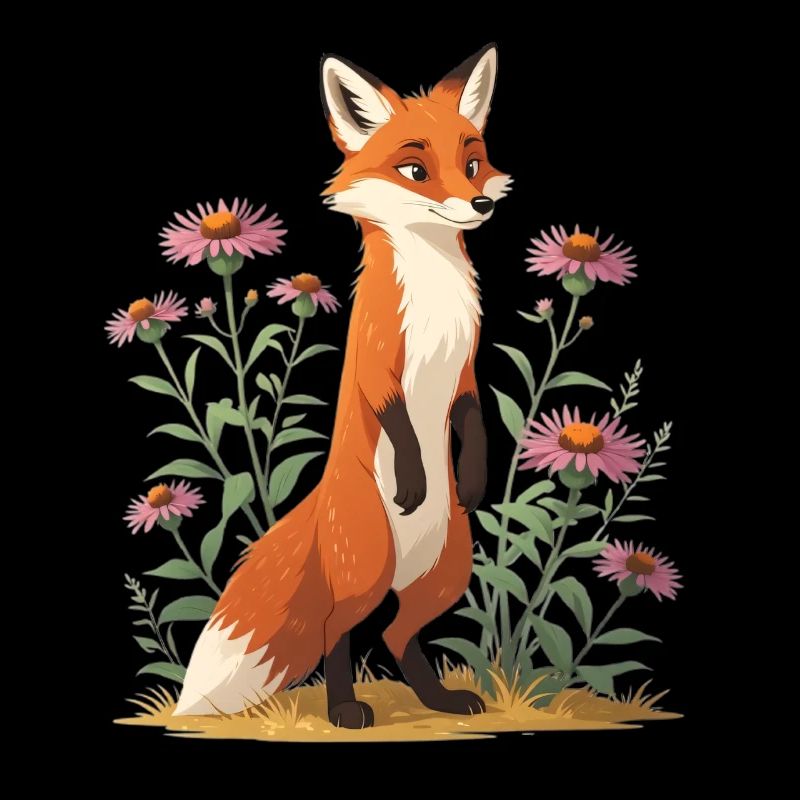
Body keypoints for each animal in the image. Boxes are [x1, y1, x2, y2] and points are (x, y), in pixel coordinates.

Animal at [175, 44, 512, 728]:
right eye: (415, 169)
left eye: (472, 163)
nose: (480, 205)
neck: (434, 297)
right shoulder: (377, 365)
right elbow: (398, 420)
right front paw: (413, 479)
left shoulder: (466, 370)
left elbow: (472, 417)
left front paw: (473, 480)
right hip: (369, 568)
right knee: (339, 631)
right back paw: (344, 709)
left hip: (445, 576)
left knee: (396, 635)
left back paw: (439, 700)